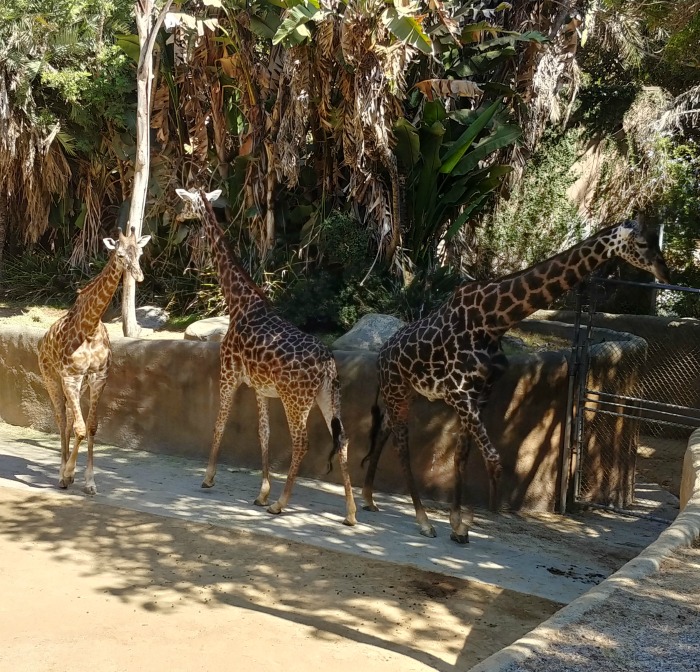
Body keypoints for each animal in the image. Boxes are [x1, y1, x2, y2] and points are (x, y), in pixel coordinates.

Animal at [38, 227, 151, 494]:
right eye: (120, 254)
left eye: (140, 253)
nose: (138, 276)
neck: (89, 327)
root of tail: (42, 341)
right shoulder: (70, 377)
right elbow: (79, 428)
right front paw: (68, 474)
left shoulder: (98, 377)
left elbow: (90, 427)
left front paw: (89, 482)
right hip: (51, 378)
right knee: (61, 420)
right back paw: (61, 474)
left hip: (78, 385)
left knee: (69, 420)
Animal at [175, 188, 357, 526]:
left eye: (184, 200)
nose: (178, 218)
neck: (239, 302)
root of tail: (327, 364)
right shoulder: (260, 388)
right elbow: (264, 434)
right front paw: (261, 493)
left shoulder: (229, 373)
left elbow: (219, 424)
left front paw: (208, 478)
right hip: (328, 396)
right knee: (343, 440)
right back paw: (351, 514)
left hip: (296, 400)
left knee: (302, 443)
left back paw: (281, 505)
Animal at [362, 219, 671, 543]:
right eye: (641, 243)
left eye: (656, 239)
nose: (665, 273)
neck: (493, 320)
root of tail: (381, 354)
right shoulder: (460, 392)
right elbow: (493, 460)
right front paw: (476, 517)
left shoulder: (479, 394)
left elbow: (463, 456)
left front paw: (459, 524)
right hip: (397, 391)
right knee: (402, 447)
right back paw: (422, 521)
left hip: (408, 393)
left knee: (383, 431)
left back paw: (369, 498)